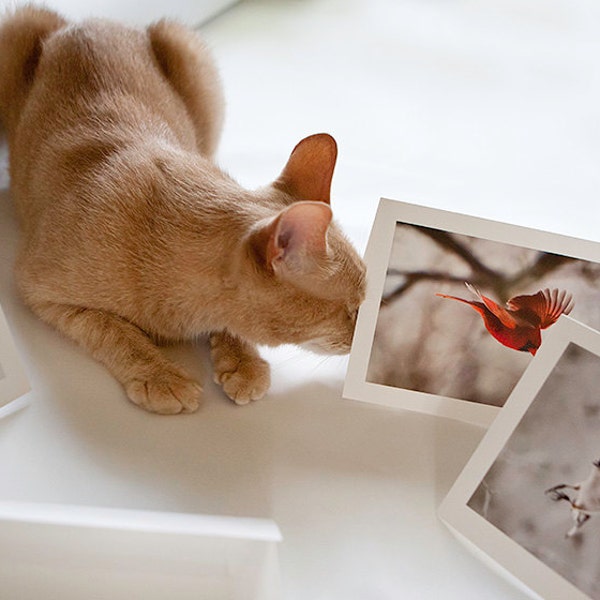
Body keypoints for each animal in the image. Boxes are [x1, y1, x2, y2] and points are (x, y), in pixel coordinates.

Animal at [0, 7, 366, 414]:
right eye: (353, 309)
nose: (364, 341)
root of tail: (85, 21)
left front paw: (242, 362)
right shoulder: (40, 291)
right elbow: (113, 331)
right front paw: (159, 376)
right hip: (16, 28)